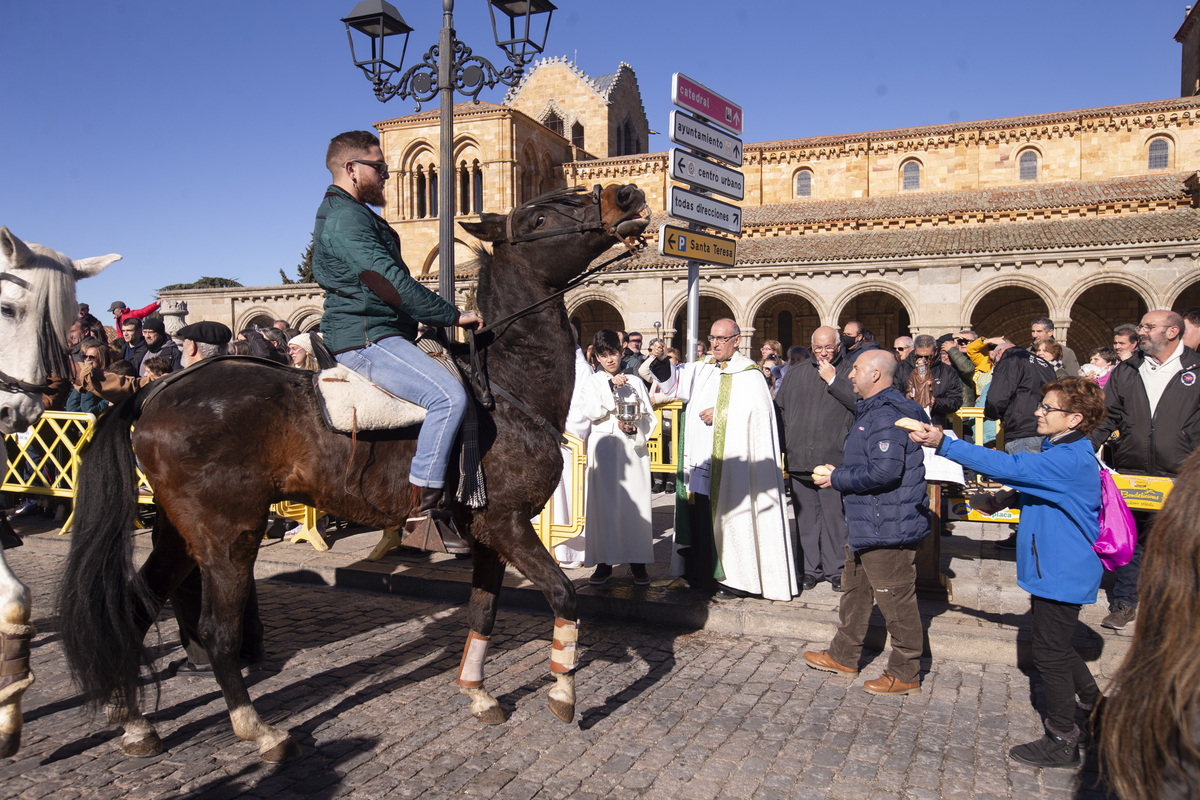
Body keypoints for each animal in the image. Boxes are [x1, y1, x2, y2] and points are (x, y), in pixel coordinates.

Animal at [58, 183, 648, 762]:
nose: (627, 195)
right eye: (540, 215)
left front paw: (479, 694)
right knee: (217, 631)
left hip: (181, 534)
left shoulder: (486, 531)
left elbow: (483, 613)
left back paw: (134, 724)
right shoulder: (507, 523)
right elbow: (564, 597)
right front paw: (563, 692)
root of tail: (156, 391)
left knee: (135, 607)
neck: (506, 387)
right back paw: (259, 731)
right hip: (228, 535)